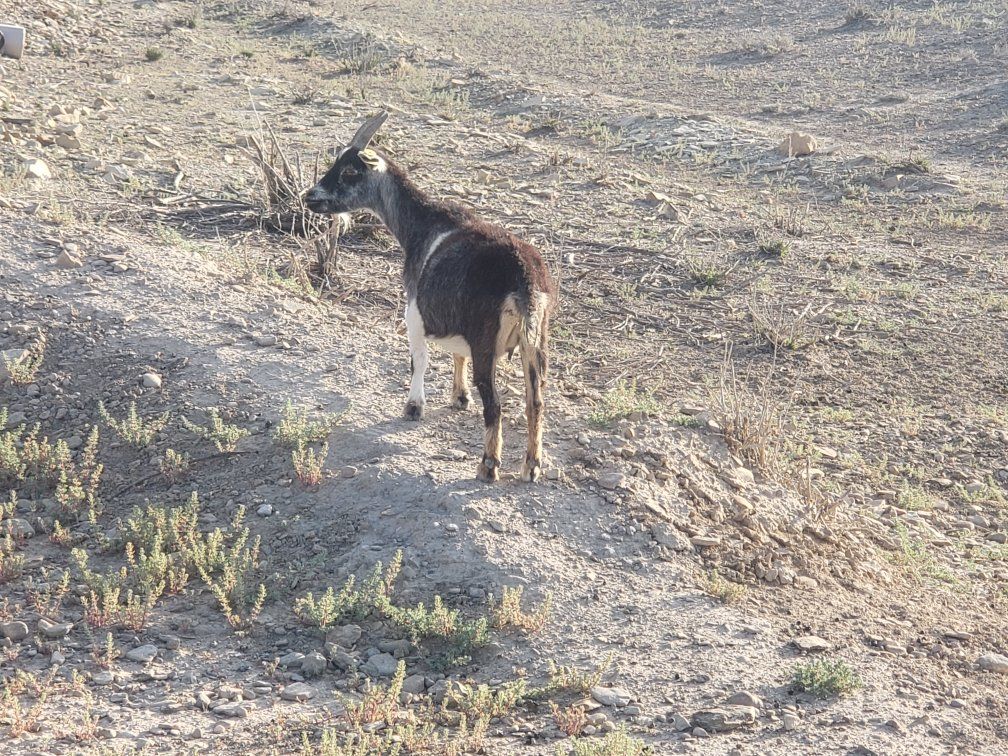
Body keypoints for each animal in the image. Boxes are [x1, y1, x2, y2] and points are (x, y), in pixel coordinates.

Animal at [305, 112, 556, 482]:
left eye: (350, 171)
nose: (310, 197)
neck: (422, 225)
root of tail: (524, 279)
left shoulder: (414, 310)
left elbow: (419, 359)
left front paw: (413, 406)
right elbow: (457, 355)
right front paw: (459, 397)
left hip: (487, 341)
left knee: (495, 403)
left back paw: (488, 465)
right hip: (536, 342)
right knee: (535, 401)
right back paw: (531, 466)